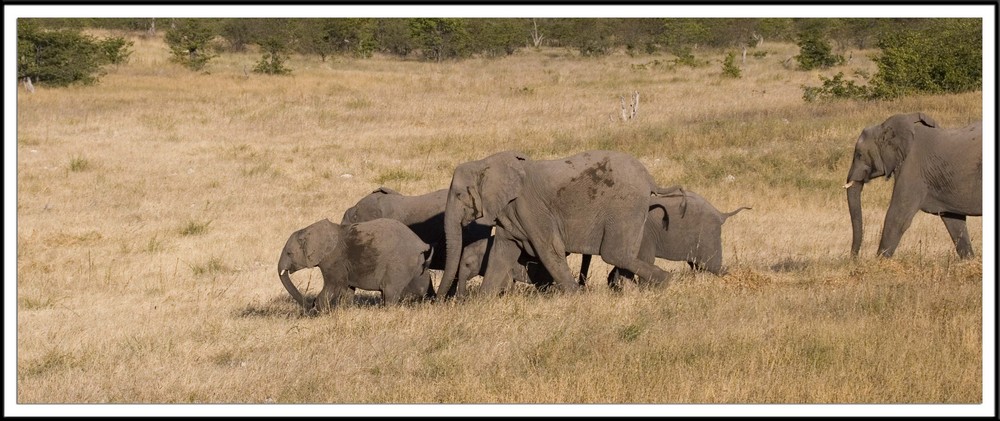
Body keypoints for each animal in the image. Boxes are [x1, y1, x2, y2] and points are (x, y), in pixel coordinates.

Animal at [278, 217, 434, 312]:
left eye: (289, 253)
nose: (310, 304)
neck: (310, 229)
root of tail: (421, 244)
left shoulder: (333, 259)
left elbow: (335, 286)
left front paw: (318, 312)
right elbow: (347, 289)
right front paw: (344, 310)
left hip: (399, 262)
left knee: (390, 292)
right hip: (417, 263)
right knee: (422, 284)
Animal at [440, 149, 684, 296]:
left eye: (459, 195)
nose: (441, 301)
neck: (485, 163)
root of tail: (650, 178)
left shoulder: (531, 208)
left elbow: (550, 249)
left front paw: (576, 296)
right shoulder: (509, 211)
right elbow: (502, 253)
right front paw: (483, 302)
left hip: (624, 204)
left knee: (614, 253)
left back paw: (664, 282)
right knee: (625, 253)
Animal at [844, 111, 984, 258]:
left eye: (859, 155)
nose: (854, 258)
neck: (883, 126)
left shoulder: (912, 168)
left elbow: (897, 217)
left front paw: (879, 262)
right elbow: (954, 220)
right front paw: (969, 260)